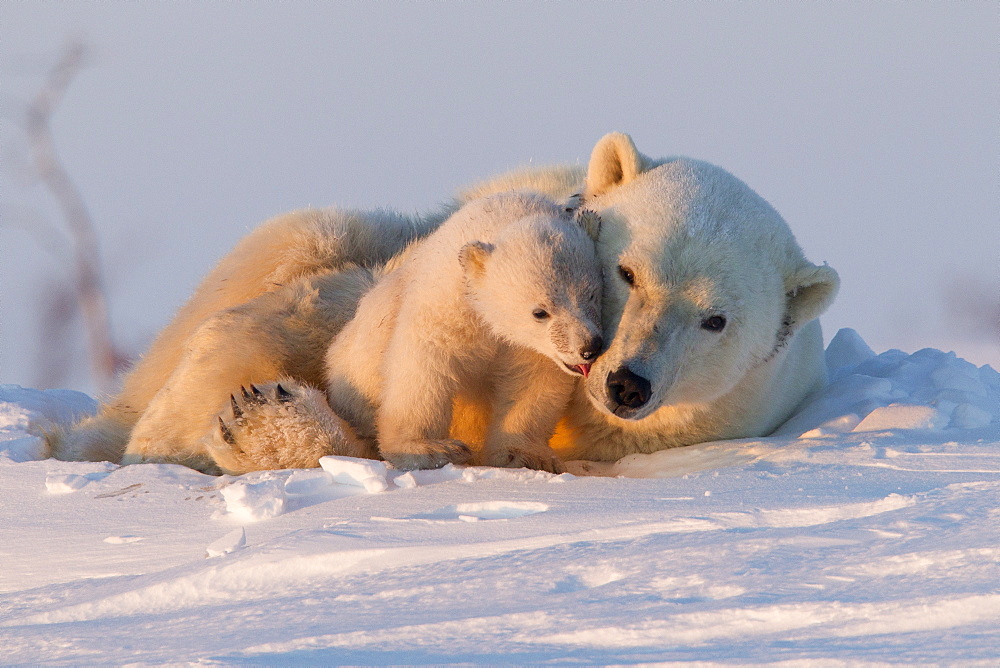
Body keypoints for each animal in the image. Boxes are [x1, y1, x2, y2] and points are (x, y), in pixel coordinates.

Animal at [304, 190, 600, 472]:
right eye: (540, 312)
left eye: (592, 295)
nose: (589, 347)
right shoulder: (447, 304)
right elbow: (426, 365)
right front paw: (430, 449)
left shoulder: (530, 347)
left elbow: (532, 380)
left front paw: (527, 456)